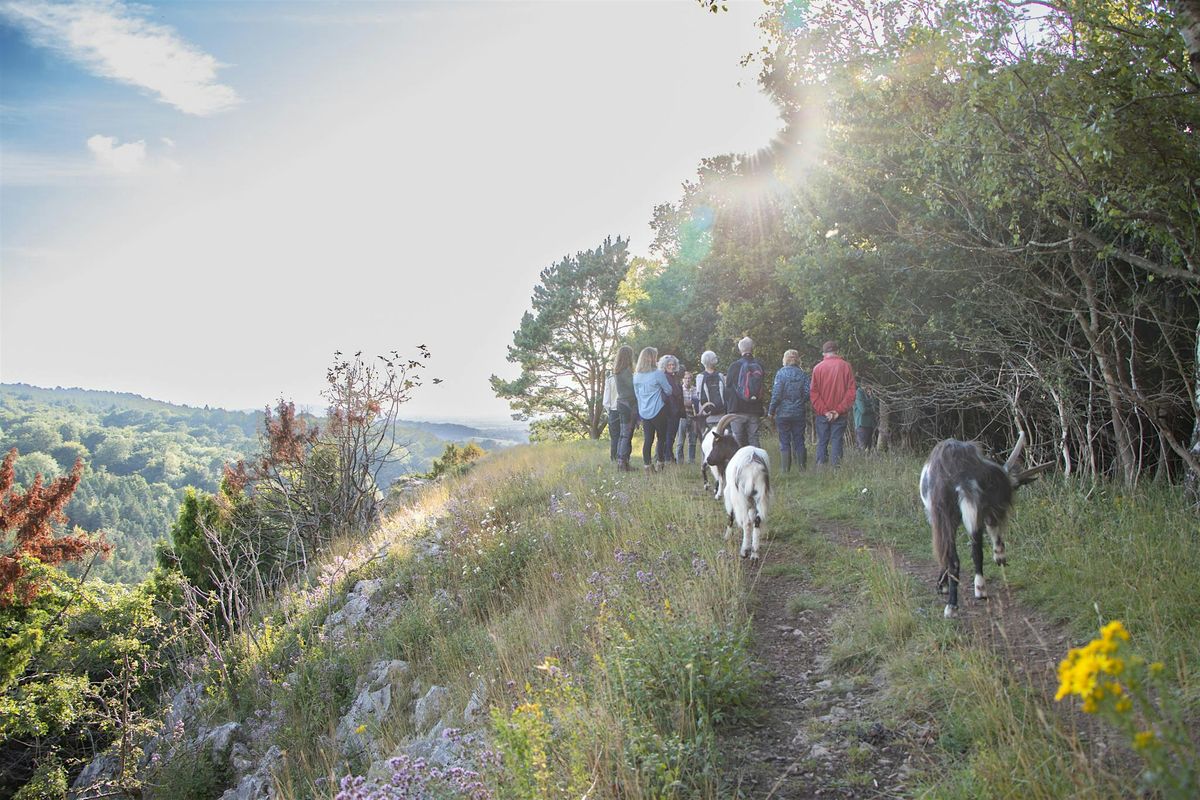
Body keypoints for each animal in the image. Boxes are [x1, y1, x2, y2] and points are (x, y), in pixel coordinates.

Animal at [916, 434, 1051, 618]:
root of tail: (962, 476)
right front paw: (999, 556)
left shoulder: (935, 518)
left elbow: (943, 553)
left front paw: (941, 586)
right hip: (976, 508)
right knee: (977, 549)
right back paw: (980, 588)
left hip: (946, 515)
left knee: (954, 558)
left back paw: (952, 606)